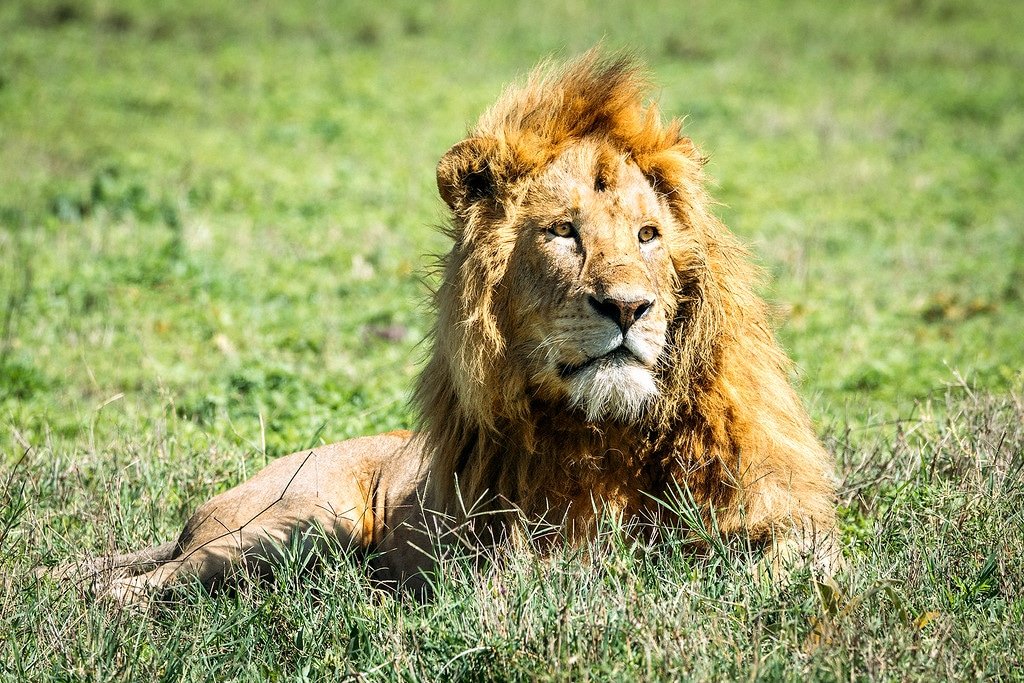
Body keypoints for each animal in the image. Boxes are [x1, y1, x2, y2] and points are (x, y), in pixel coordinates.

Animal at [45, 53, 838, 603]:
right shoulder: (513, 556)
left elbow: (791, 571)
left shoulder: (789, 523)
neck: (611, 434)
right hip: (301, 524)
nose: (628, 307)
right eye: (563, 232)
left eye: (649, 236)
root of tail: (192, 521)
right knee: (135, 588)